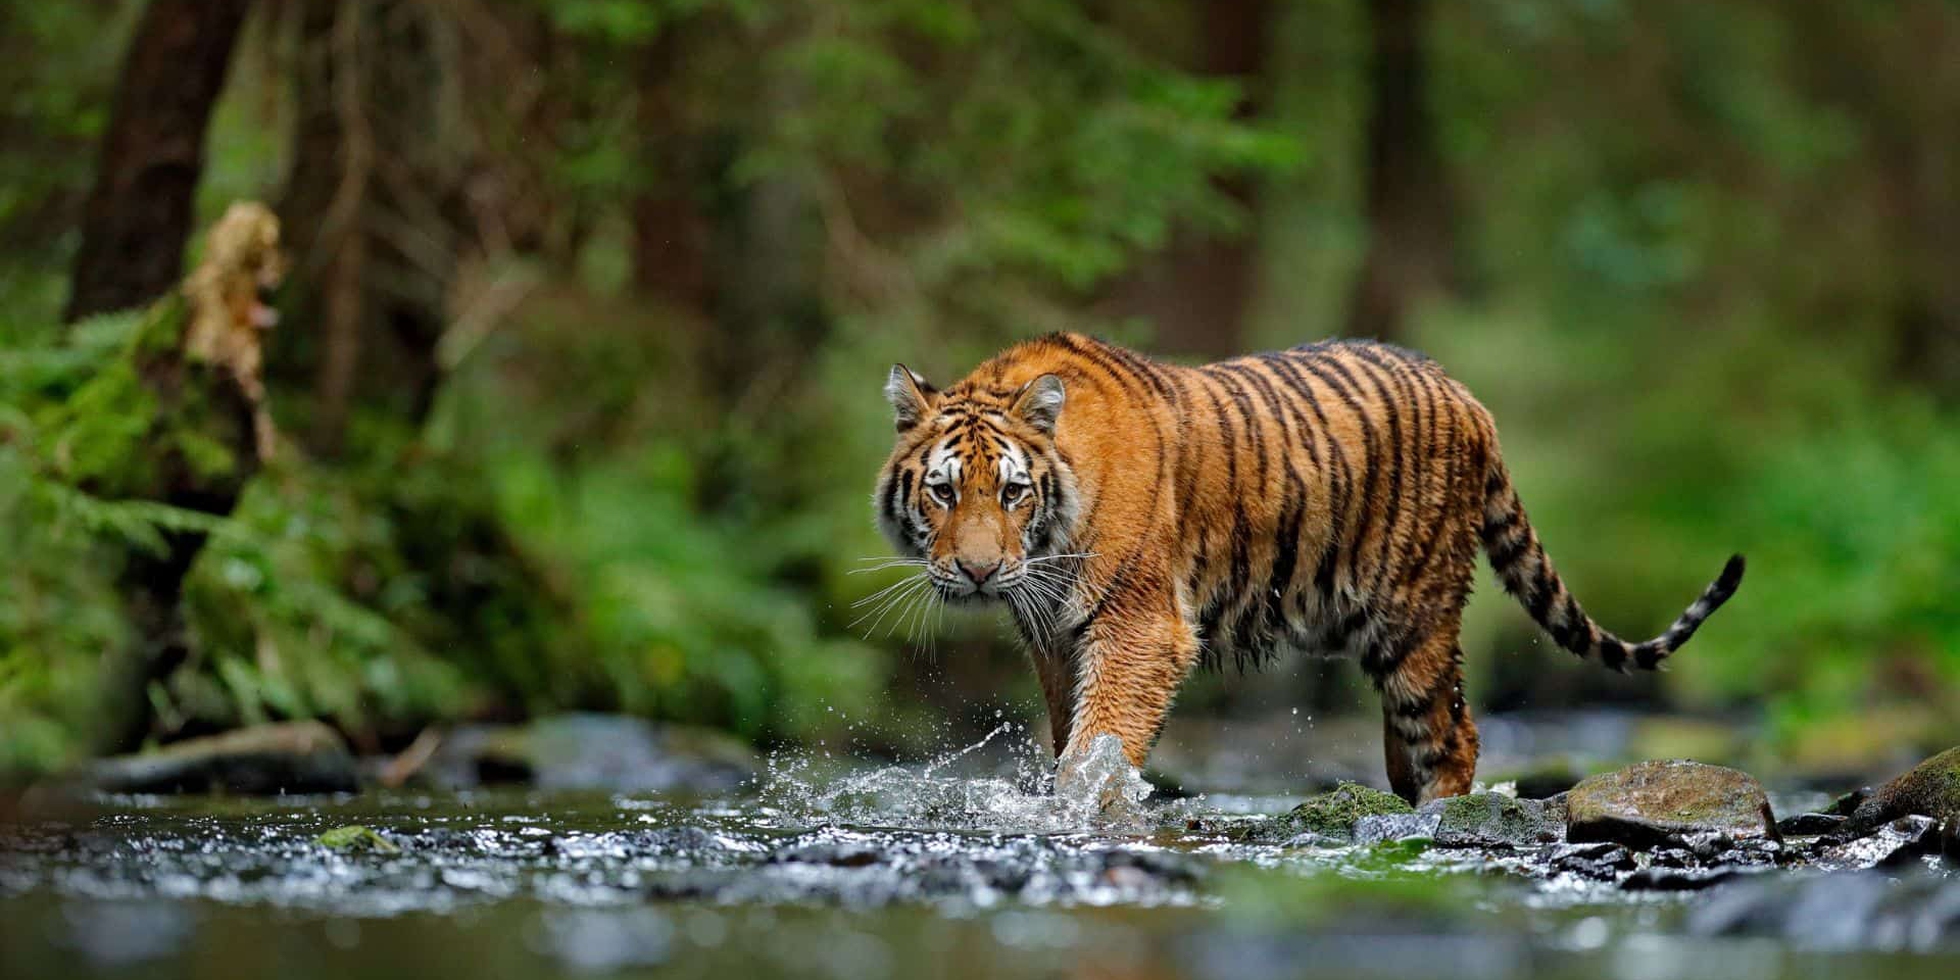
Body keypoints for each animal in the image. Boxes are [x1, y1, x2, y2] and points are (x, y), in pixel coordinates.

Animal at [878, 333, 1748, 799]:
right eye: (944, 492)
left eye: (1013, 492)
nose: (980, 573)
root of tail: (1469, 397)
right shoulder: (1057, 638)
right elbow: (1072, 737)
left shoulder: (1139, 627)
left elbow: (1100, 744)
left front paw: (1082, 809)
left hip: (1415, 616)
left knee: (1455, 733)